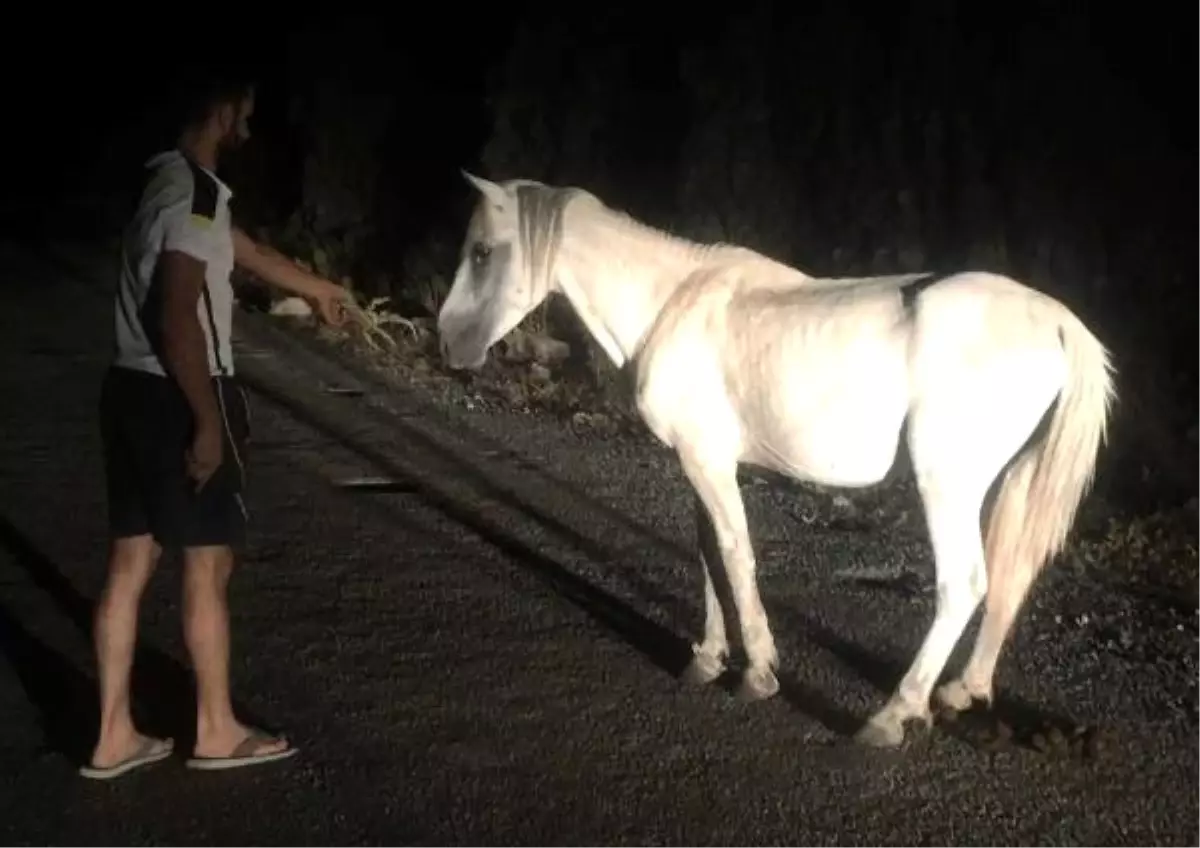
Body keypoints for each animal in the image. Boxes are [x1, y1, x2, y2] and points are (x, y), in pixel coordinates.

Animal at [436, 173, 1118, 748]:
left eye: (482, 252)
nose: (448, 341)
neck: (673, 302)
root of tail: (1060, 323)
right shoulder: (701, 462)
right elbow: (710, 558)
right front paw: (707, 659)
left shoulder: (708, 463)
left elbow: (736, 556)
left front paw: (758, 672)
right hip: (1007, 482)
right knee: (1005, 581)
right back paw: (959, 694)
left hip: (946, 484)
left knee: (965, 584)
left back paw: (894, 714)